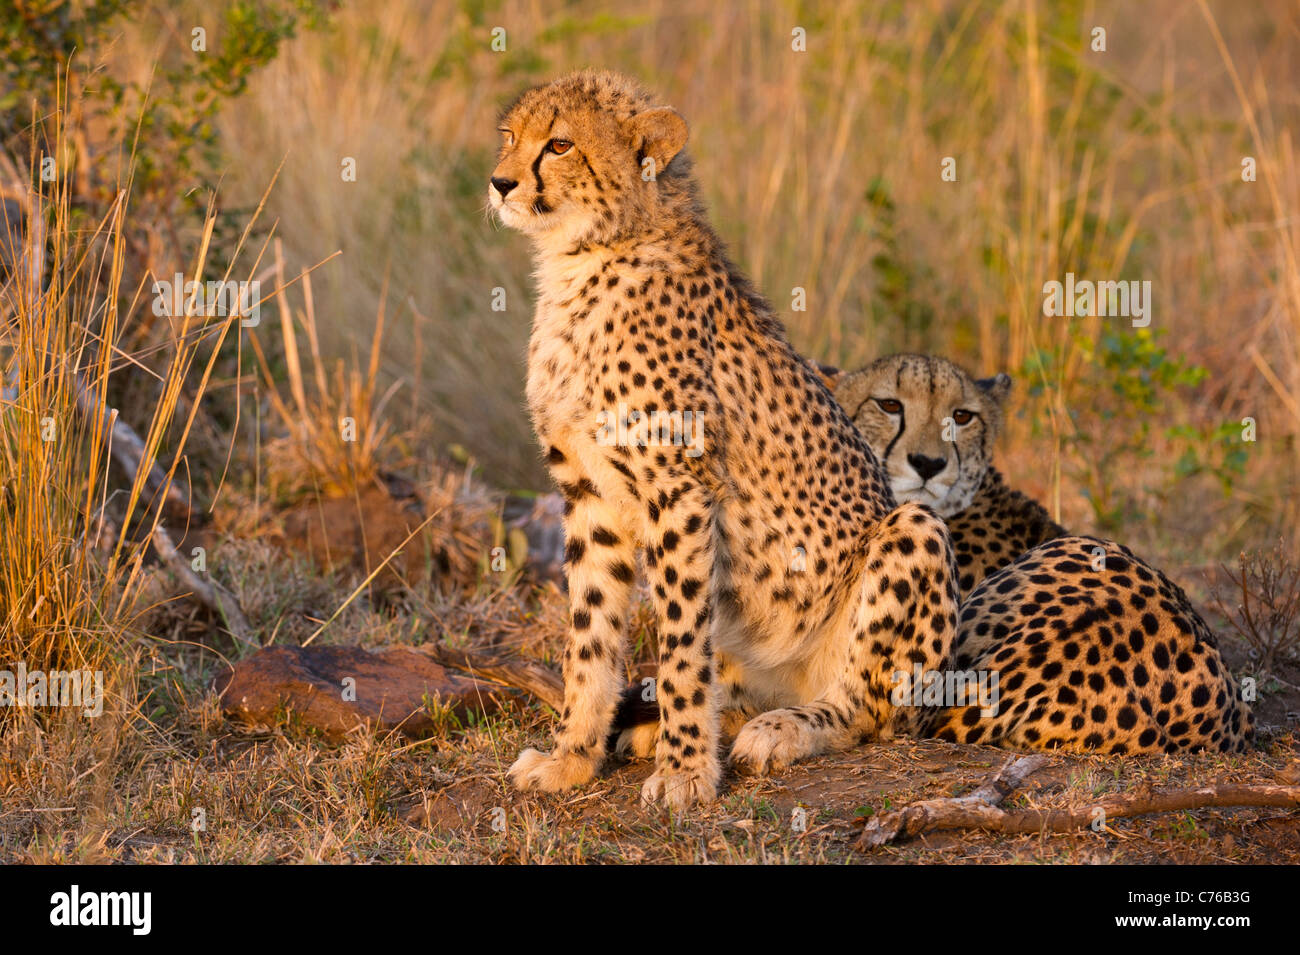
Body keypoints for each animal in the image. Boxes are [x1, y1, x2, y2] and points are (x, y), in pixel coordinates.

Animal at [491, 70, 961, 810]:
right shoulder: (589, 495)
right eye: (510, 135)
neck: (585, 257)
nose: (500, 182)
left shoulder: (679, 492)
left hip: (912, 531)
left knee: (872, 710)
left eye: (560, 144)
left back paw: (784, 728)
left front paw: (685, 772)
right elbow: (589, 638)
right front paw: (571, 758)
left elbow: (682, 645)